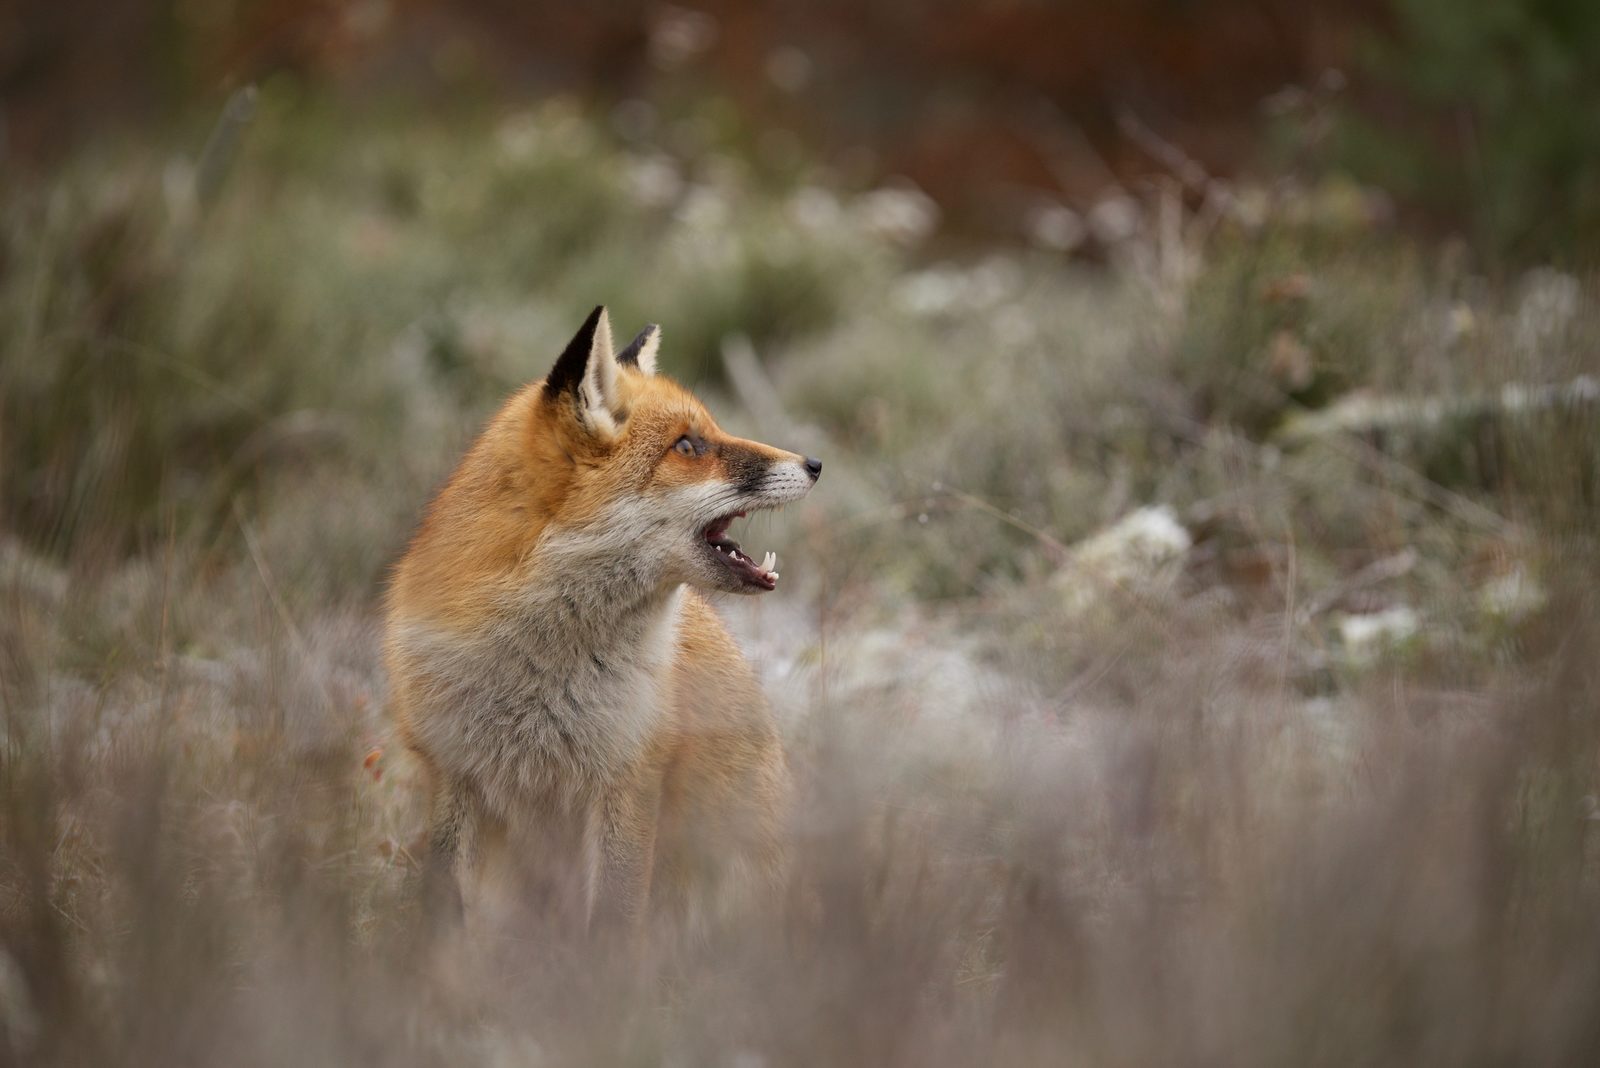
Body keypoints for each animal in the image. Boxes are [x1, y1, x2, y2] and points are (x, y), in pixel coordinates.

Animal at [382, 303, 819, 927]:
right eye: (688, 446)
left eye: (711, 431)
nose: (815, 462)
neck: (536, 674)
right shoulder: (450, 773)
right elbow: (442, 922)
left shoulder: (628, 778)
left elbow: (612, 927)